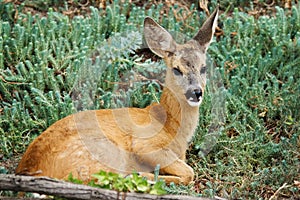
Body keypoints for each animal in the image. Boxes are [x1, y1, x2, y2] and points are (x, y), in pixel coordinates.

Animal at [15, 7, 218, 185]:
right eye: (177, 69)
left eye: (203, 68)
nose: (196, 92)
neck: (171, 126)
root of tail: (28, 169)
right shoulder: (145, 144)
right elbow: (189, 172)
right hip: (107, 152)